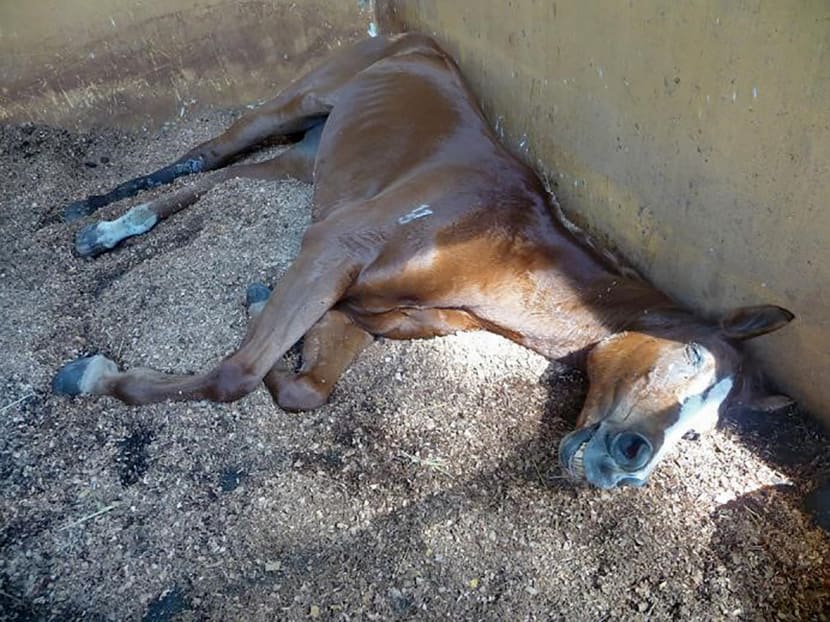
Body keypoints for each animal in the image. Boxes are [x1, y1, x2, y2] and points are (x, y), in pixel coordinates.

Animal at [53, 33, 794, 489]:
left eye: (701, 434)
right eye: (691, 356)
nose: (630, 464)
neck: (499, 248)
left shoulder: (356, 304)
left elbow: (303, 389)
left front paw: (266, 312)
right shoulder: (333, 250)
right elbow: (234, 376)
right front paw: (96, 377)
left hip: (308, 158)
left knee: (226, 182)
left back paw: (115, 231)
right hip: (293, 104)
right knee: (202, 155)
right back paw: (91, 219)